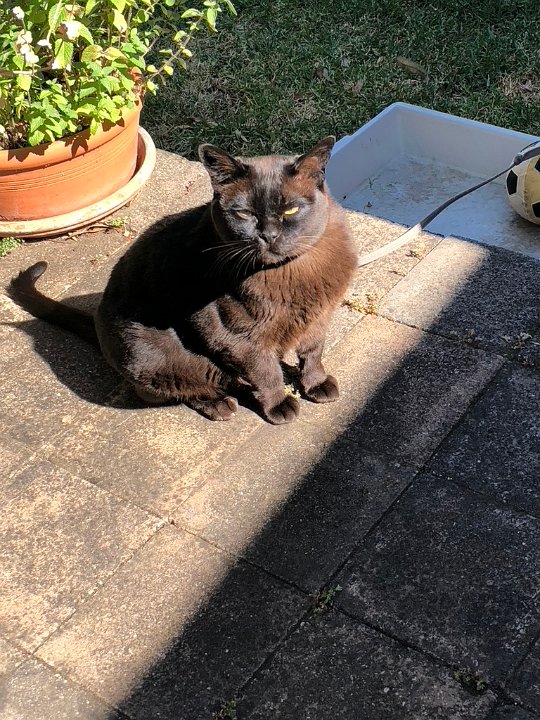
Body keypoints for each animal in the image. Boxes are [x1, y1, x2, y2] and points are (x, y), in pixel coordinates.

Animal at [9, 137, 358, 424]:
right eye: (244, 214)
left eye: (290, 211)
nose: (268, 236)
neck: (291, 273)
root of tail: (96, 320)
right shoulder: (235, 337)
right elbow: (265, 372)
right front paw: (279, 405)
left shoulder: (319, 316)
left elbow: (312, 352)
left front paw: (316, 384)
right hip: (151, 358)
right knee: (186, 388)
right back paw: (219, 404)